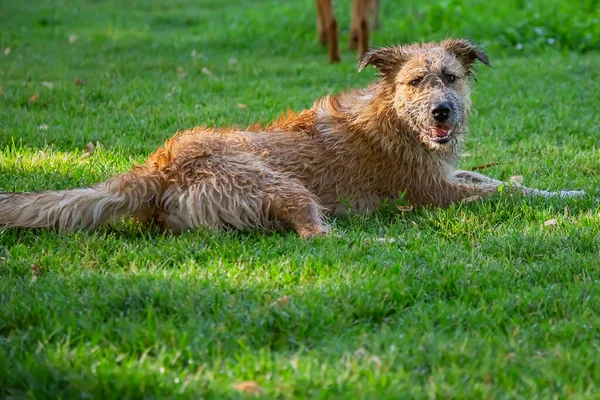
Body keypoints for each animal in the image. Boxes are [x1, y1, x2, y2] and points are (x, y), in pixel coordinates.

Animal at [0, 38, 584, 238]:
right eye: (416, 81)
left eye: (452, 77)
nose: (443, 111)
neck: (393, 120)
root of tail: (157, 167)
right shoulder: (432, 192)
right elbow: (501, 192)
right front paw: (566, 201)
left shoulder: (446, 171)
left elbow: (499, 179)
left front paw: (566, 191)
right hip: (278, 184)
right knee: (313, 235)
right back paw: (373, 238)